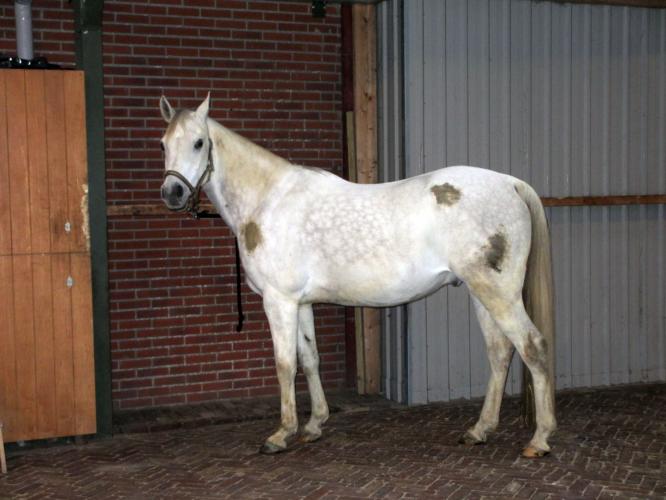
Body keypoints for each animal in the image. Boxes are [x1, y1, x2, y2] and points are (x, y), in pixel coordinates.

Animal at [158, 94, 557, 458]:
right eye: (163, 143)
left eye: (199, 142)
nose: (172, 193)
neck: (268, 201)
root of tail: (510, 183)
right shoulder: (301, 303)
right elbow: (310, 359)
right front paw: (314, 425)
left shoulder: (279, 301)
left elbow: (285, 365)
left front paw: (281, 434)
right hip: (479, 293)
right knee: (500, 353)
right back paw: (479, 430)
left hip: (498, 294)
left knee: (532, 347)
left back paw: (539, 439)